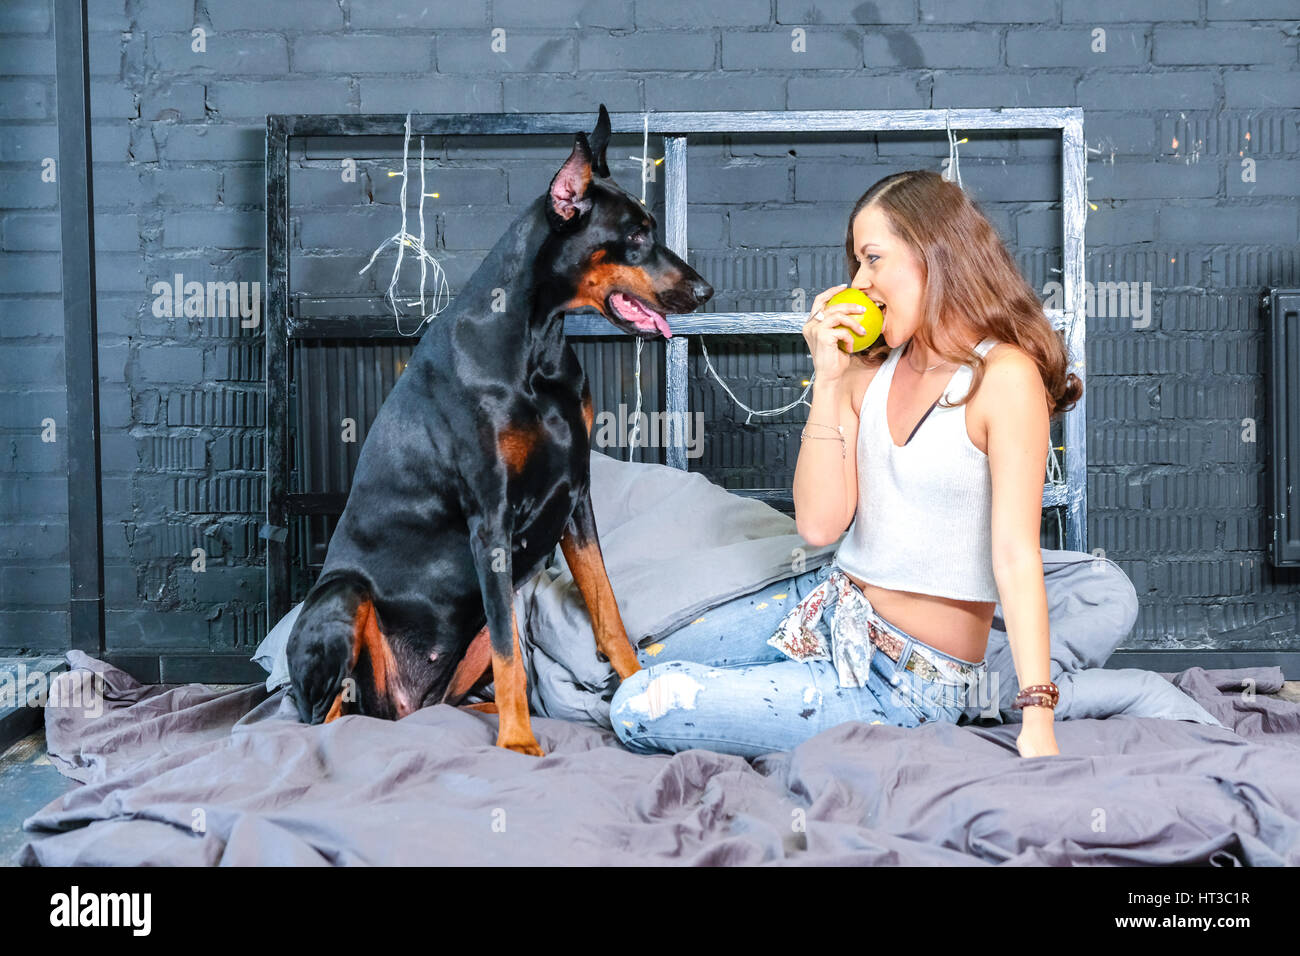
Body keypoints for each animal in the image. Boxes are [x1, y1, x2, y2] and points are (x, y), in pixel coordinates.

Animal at [287, 100, 712, 749]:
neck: (534, 344)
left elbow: (608, 613)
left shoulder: (576, 494)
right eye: (637, 236)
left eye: (654, 229)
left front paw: (640, 687)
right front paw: (517, 744)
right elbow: (514, 654)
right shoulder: (490, 514)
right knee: (320, 715)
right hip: (345, 594)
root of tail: (400, 708)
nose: (704, 290)